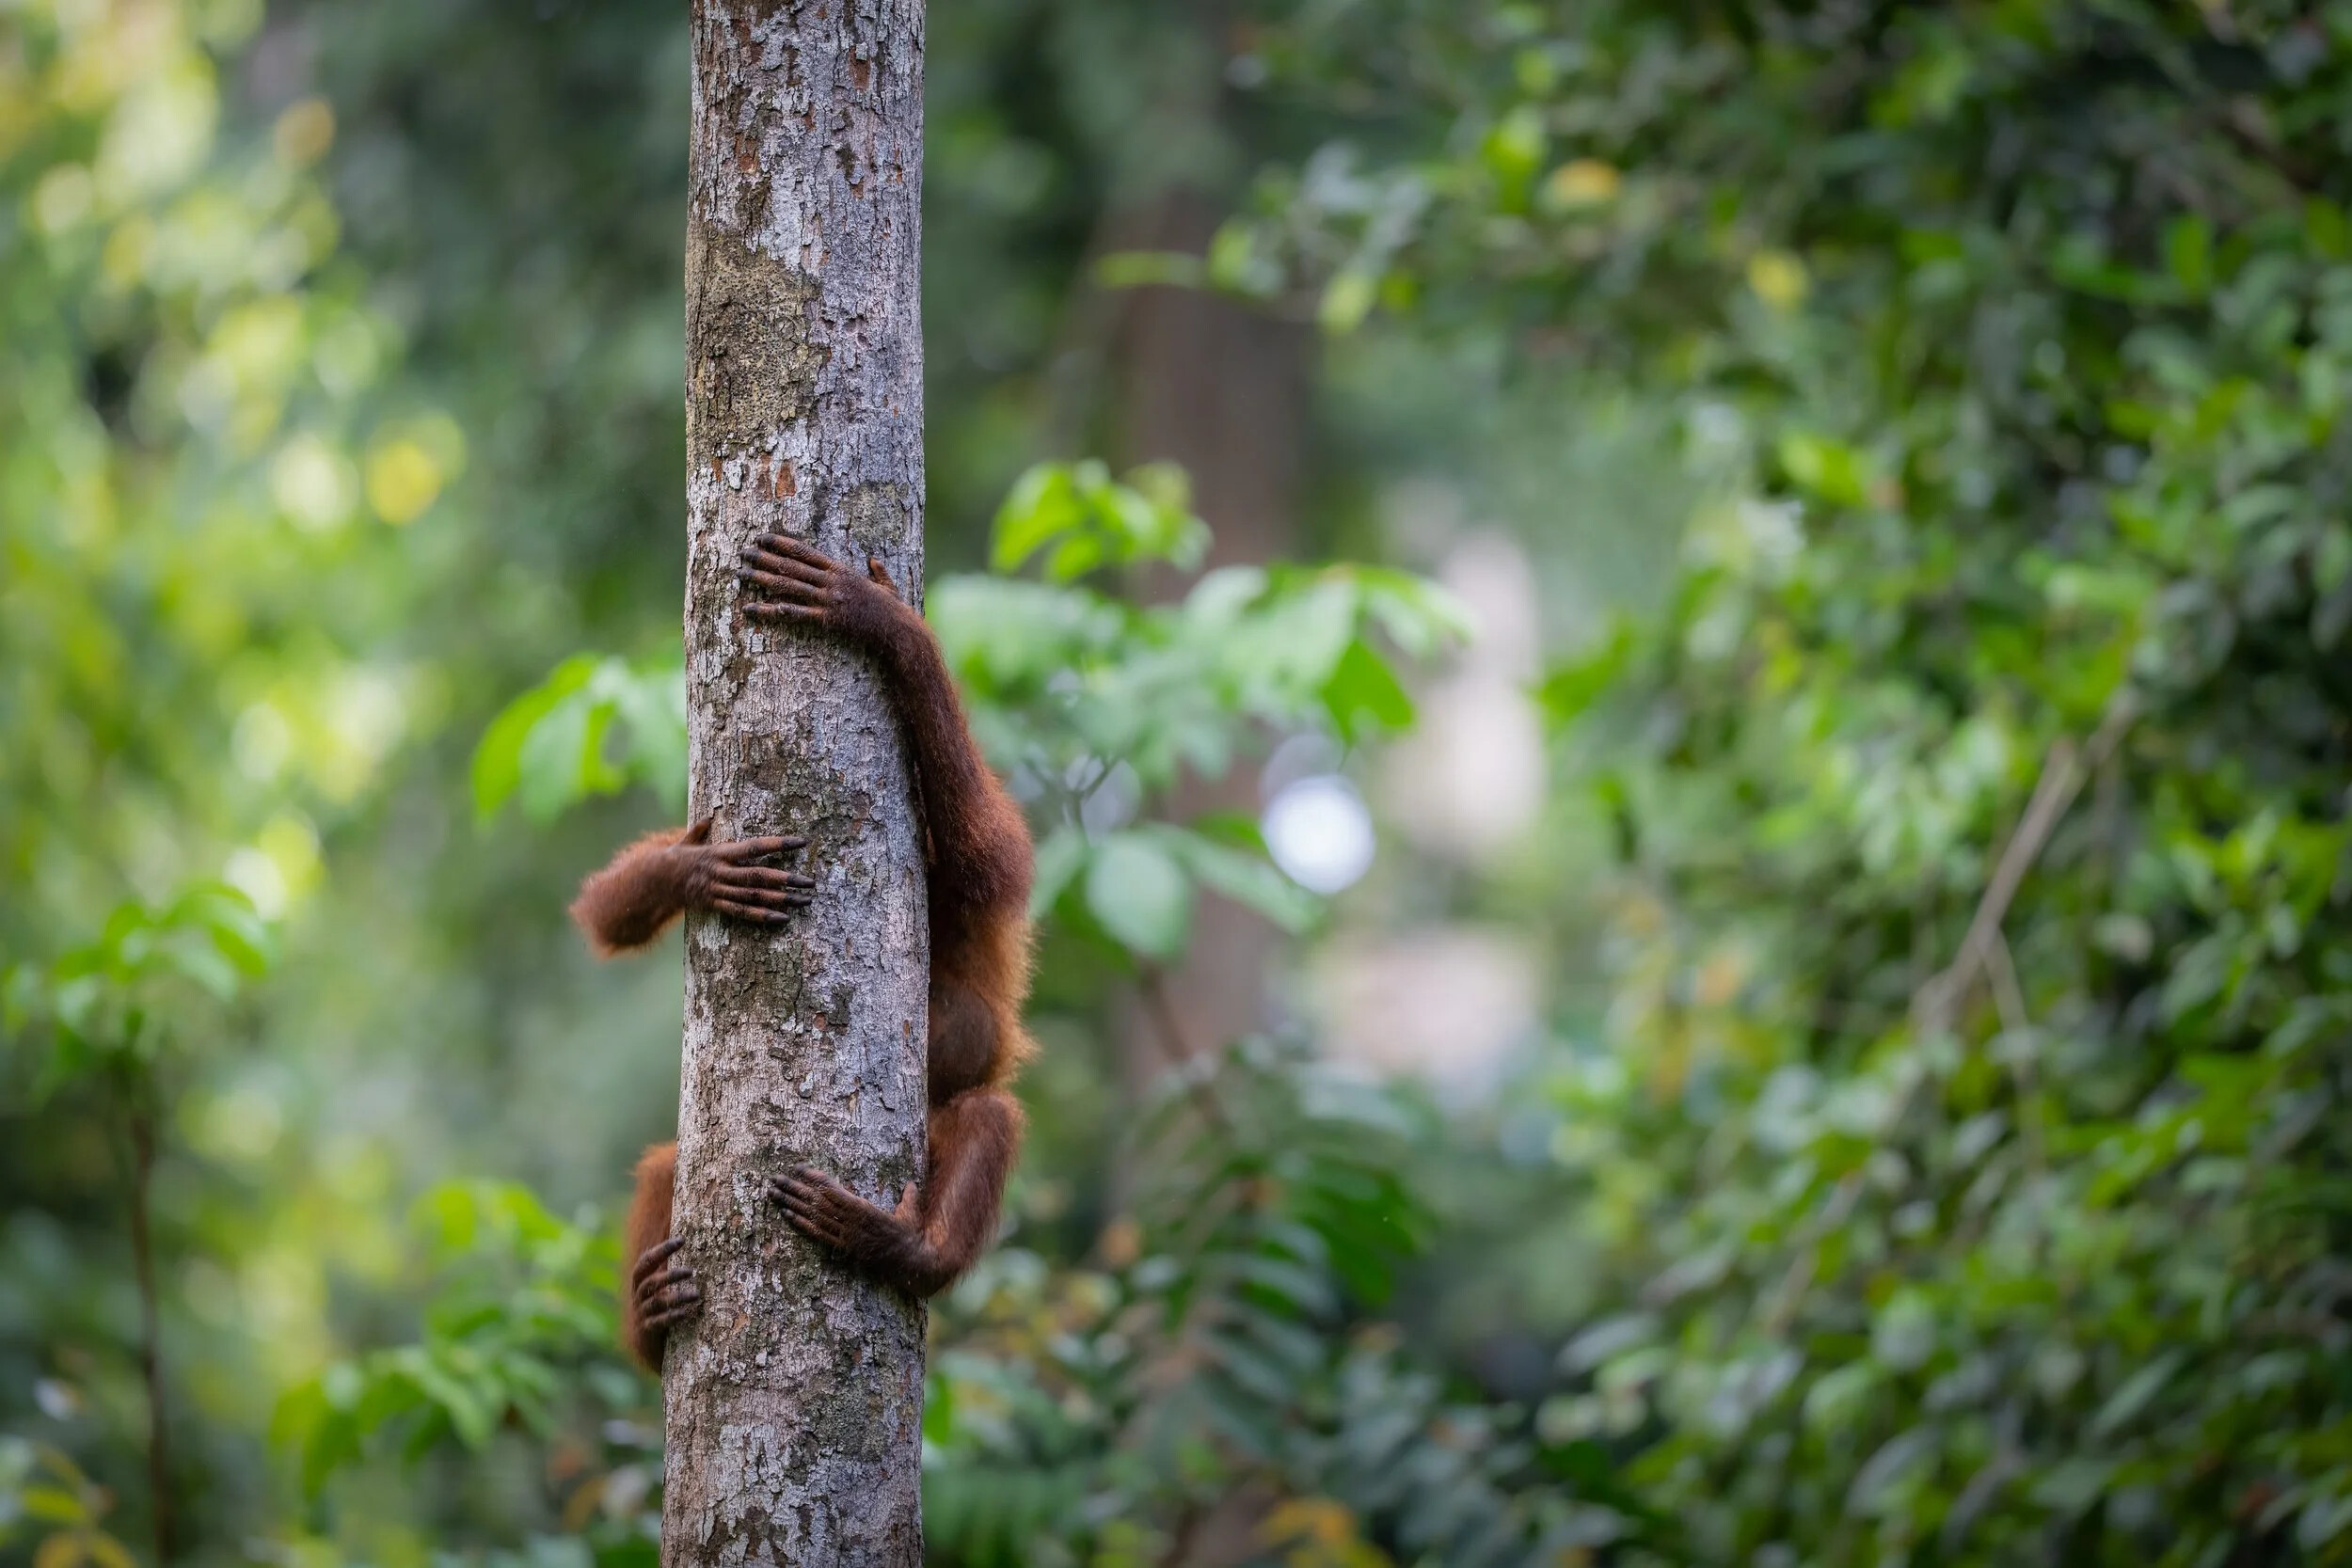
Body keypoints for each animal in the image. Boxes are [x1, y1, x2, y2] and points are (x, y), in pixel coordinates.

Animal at [573, 534, 1035, 1371]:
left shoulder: (981, 868)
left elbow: (980, 846)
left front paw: (881, 621)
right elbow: (604, 909)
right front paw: (698, 871)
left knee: (987, 1109)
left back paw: (908, 1249)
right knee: (665, 1161)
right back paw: (652, 1323)